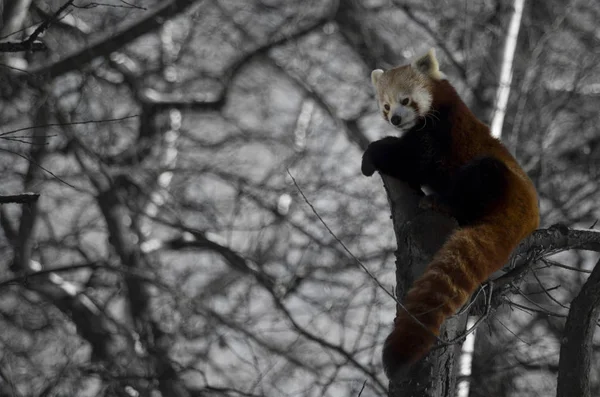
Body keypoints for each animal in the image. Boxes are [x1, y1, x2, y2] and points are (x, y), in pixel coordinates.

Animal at [360, 48, 540, 376]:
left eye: (406, 100)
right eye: (386, 105)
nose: (395, 119)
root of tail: (528, 217)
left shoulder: (442, 130)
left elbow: (414, 160)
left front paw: (372, 155)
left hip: (496, 182)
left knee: (481, 175)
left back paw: (441, 202)